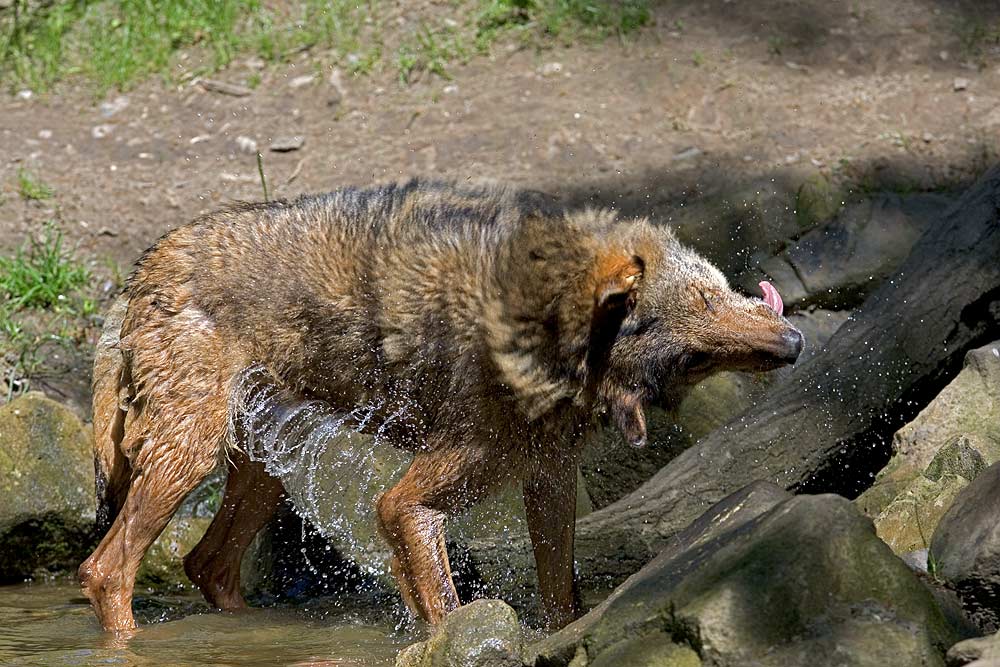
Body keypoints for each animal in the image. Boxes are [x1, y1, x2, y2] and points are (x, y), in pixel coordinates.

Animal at [82, 179, 804, 636]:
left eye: (696, 360)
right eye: (703, 305)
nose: (795, 344)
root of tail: (144, 267)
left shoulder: (548, 482)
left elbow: (561, 602)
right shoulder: (406, 504)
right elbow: (447, 605)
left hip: (263, 469)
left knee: (207, 564)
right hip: (191, 455)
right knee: (105, 570)